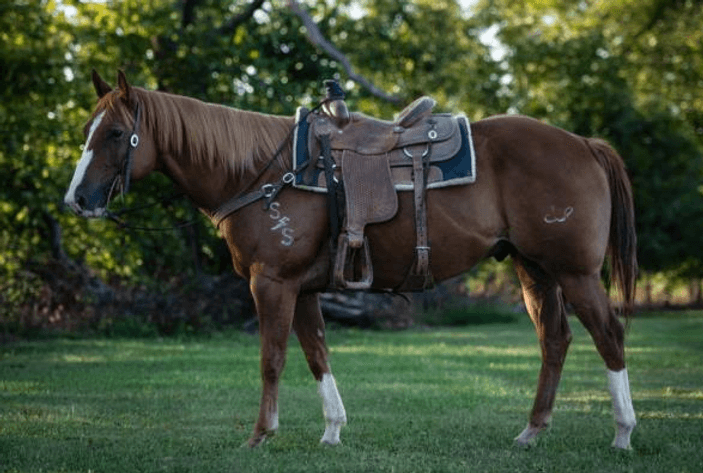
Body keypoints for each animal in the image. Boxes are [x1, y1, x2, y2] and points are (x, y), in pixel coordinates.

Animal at [64, 70, 637, 449]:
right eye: (87, 130)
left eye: (114, 133)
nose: (77, 199)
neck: (261, 173)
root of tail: (584, 144)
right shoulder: (302, 288)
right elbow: (317, 353)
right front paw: (333, 430)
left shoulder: (271, 283)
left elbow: (272, 358)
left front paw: (260, 435)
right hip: (534, 269)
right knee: (555, 341)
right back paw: (531, 431)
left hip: (575, 272)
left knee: (608, 334)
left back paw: (623, 433)